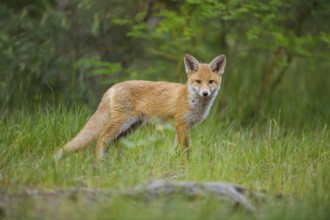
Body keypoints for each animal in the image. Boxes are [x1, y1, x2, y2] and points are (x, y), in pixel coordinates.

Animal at [54, 53, 227, 160]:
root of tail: (113, 86)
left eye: (210, 82)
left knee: (116, 141)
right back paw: (100, 164)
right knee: (102, 137)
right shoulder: (181, 124)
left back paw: (121, 163)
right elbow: (185, 150)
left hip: (132, 126)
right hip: (121, 122)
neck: (191, 99)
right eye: (198, 81)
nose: (205, 93)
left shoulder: (185, 127)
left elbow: (178, 148)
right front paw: (185, 164)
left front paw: (175, 162)